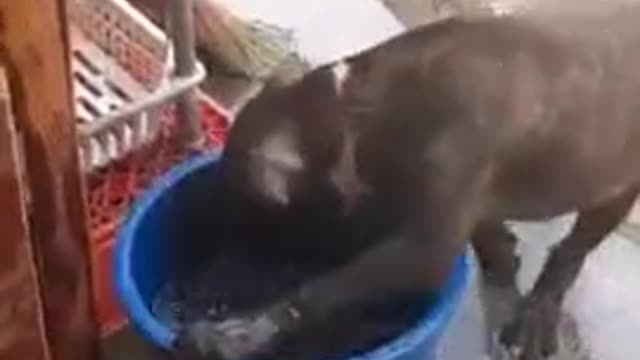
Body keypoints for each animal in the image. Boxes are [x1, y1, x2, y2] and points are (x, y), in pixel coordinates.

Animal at [178, 10, 640, 360]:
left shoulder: (424, 248)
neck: (350, 114)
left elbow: (329, 287)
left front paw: (234, 334)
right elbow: (487, 232)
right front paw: (501, 254)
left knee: (574, 248)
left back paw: (537, 315)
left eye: (255, 218)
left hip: (618, 183)